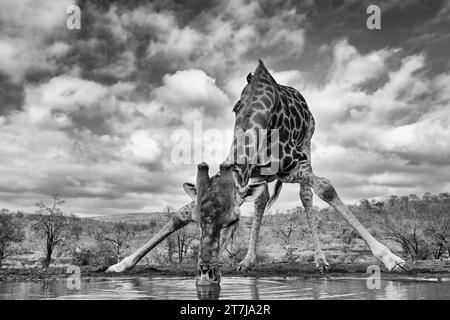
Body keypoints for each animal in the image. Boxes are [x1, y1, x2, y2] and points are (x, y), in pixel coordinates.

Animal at [106, 60, 412, 282]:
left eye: (232, 221)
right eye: (197, 221)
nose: (205, 272)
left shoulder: (295, 163)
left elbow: (325, 187)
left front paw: (391, 259)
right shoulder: (240, 169)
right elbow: (180, 213)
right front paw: (121, 265)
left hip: (308, 144)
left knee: (306, 196)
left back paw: (321, 260)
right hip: (261, 176)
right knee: (262, 200)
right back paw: (247, 261)